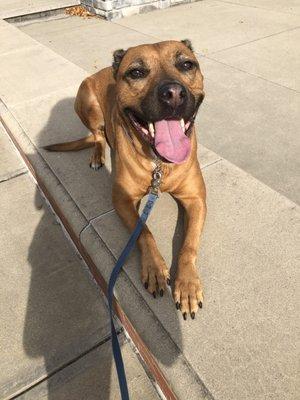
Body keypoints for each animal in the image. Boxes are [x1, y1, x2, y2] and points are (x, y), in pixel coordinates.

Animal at [44, 39, 206, 322]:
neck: (159, 164)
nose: (174, 93)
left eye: (187, 65)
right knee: (98, 135)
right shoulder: (122, 199)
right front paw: (155, 268)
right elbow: (144, 232)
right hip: (86, 102)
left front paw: (187, 284)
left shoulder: (196, 198)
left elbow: (188, 244)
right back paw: (97, 155)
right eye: (137, 72)